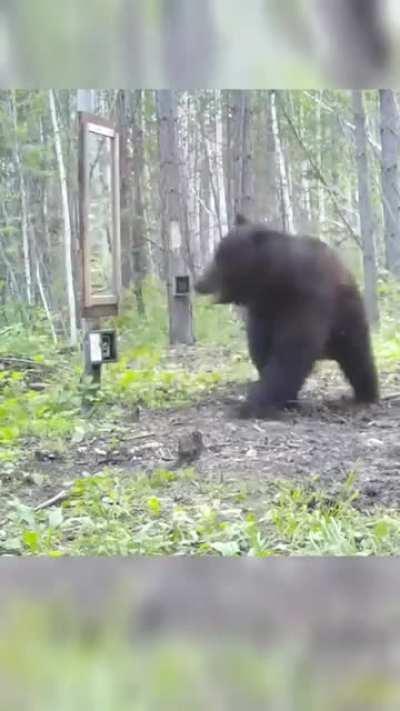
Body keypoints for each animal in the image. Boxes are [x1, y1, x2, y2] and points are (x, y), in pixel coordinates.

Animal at [195, 214, 379, 419]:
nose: (198, 283)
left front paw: (252, 405)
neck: (275, 282)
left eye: (219, 256)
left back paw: (366, 394)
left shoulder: (307, 298)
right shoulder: (264, 311)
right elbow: (262, 349)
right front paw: (286, 401)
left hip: (347, 319)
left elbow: (292, 350)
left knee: (357, 356)